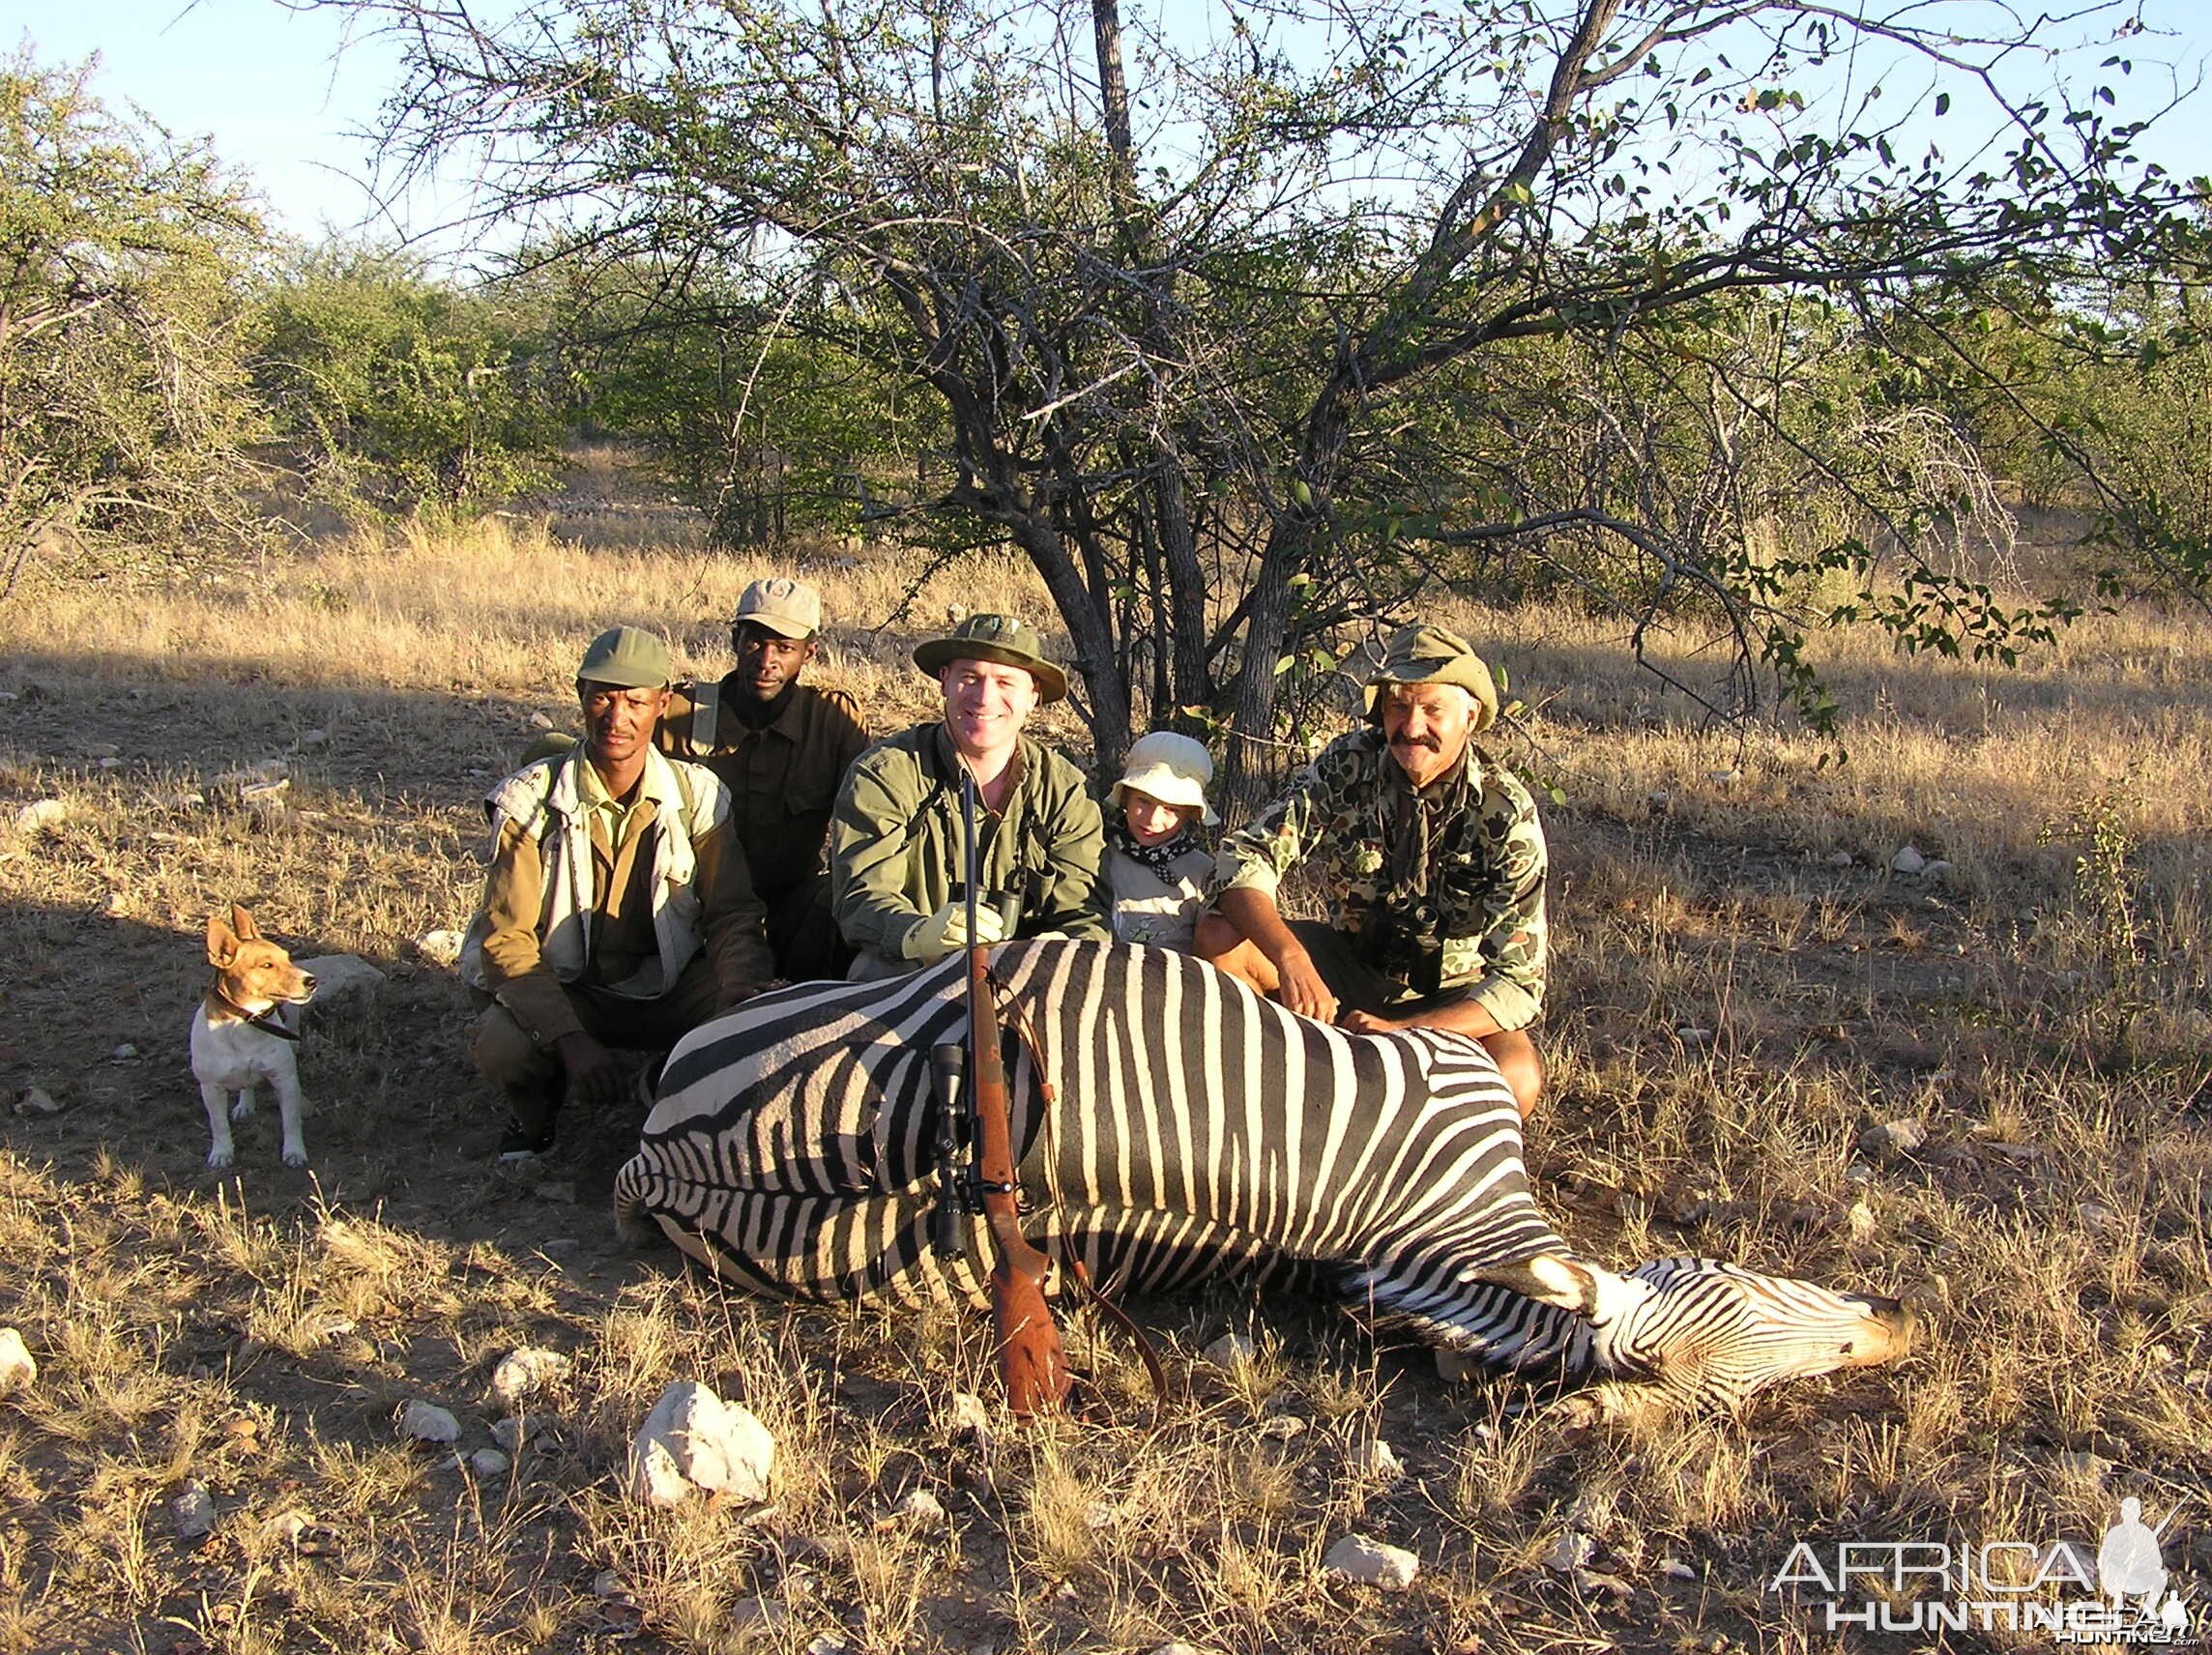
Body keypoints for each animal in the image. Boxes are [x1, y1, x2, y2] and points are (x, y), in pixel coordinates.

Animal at [189, 907, 316, 1159]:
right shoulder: (210, 1089)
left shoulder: (285, 1079)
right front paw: (222, 1153)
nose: (312, 981)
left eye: (288, 959)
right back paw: (244, 1105)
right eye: (266, 965)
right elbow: (218, 1125)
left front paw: (294, 1152)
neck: (248, 1022)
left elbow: (290, 1121)